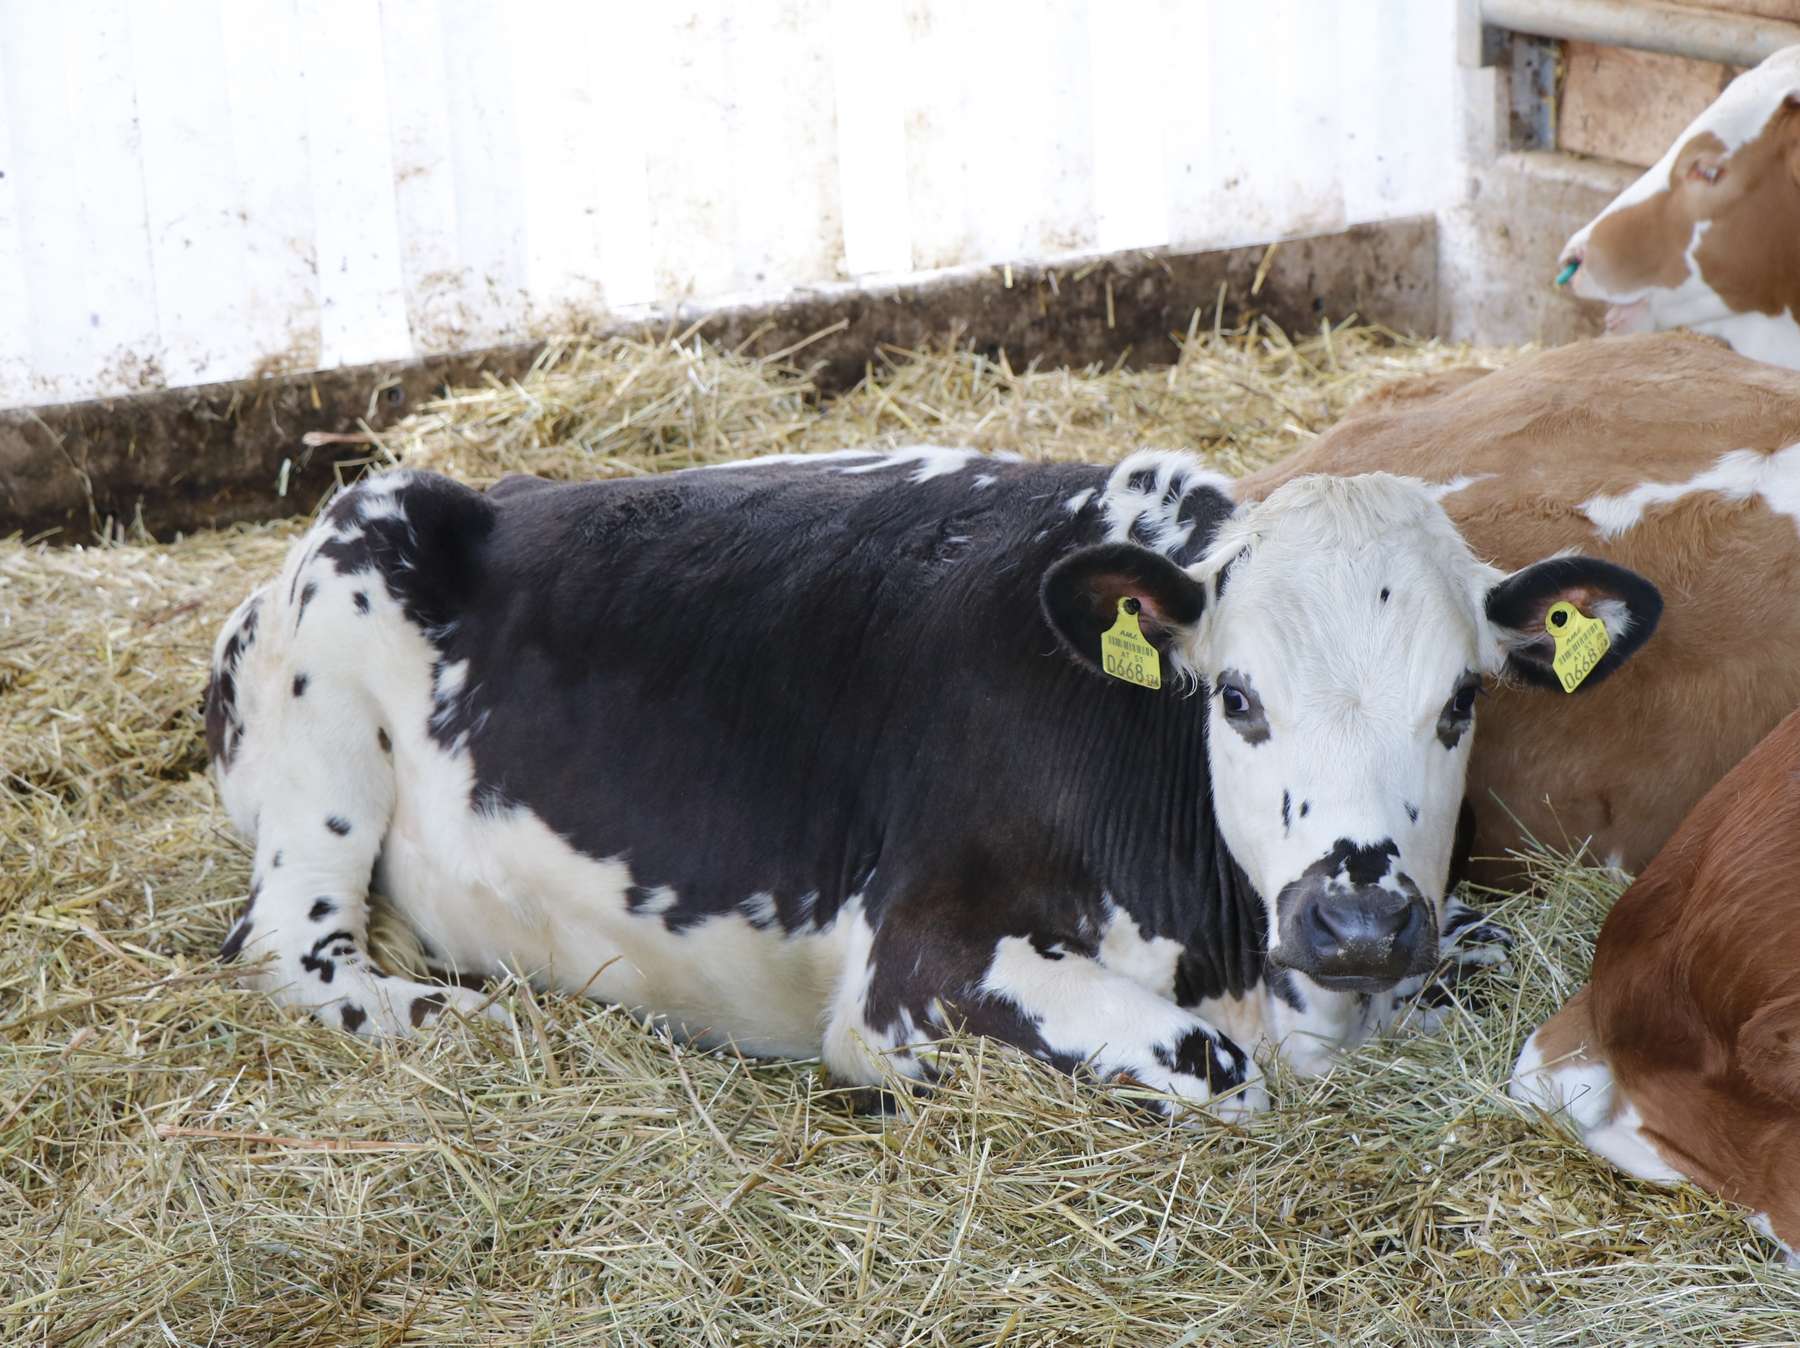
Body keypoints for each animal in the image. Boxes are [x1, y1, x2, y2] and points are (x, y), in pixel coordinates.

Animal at [207, 446, 1656, 1108]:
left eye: (1461, 700)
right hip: (327, 714)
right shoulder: (912, 973)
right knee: (283, 944)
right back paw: (451, 1015)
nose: (1355, 916)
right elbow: (1218, 1072)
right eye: (1238, 698)